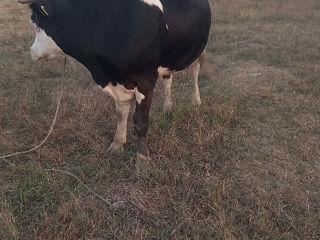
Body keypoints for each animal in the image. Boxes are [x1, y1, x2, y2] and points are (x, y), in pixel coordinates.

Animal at [18, 0, 211, 172]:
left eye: (35, 21)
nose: (32, 51)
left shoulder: (145, 80)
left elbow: (140, 122)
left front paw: (142, 160)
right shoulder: (118, 83)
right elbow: (120, 113)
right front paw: (117, 144)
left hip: (199, 49)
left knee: (195, 72)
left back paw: (196, 100)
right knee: (168, 79)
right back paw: (168, 108)